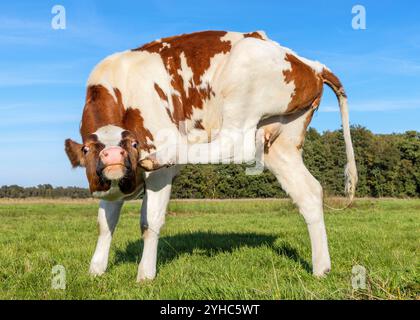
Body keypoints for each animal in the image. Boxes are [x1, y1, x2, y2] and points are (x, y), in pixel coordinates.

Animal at [65, 29, 358, 280]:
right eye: (89, 150)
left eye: (133, 144)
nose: (113, 155)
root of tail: (310, 64)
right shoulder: (110, 187)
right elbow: (105, 223)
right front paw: (96, 270)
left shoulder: (159, 170)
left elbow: (150, 222)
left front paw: (145, 275)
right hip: (281, 143)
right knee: (309, 192)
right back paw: (321, 268)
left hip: (242, 88)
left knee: (235, 144)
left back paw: (167, 152)